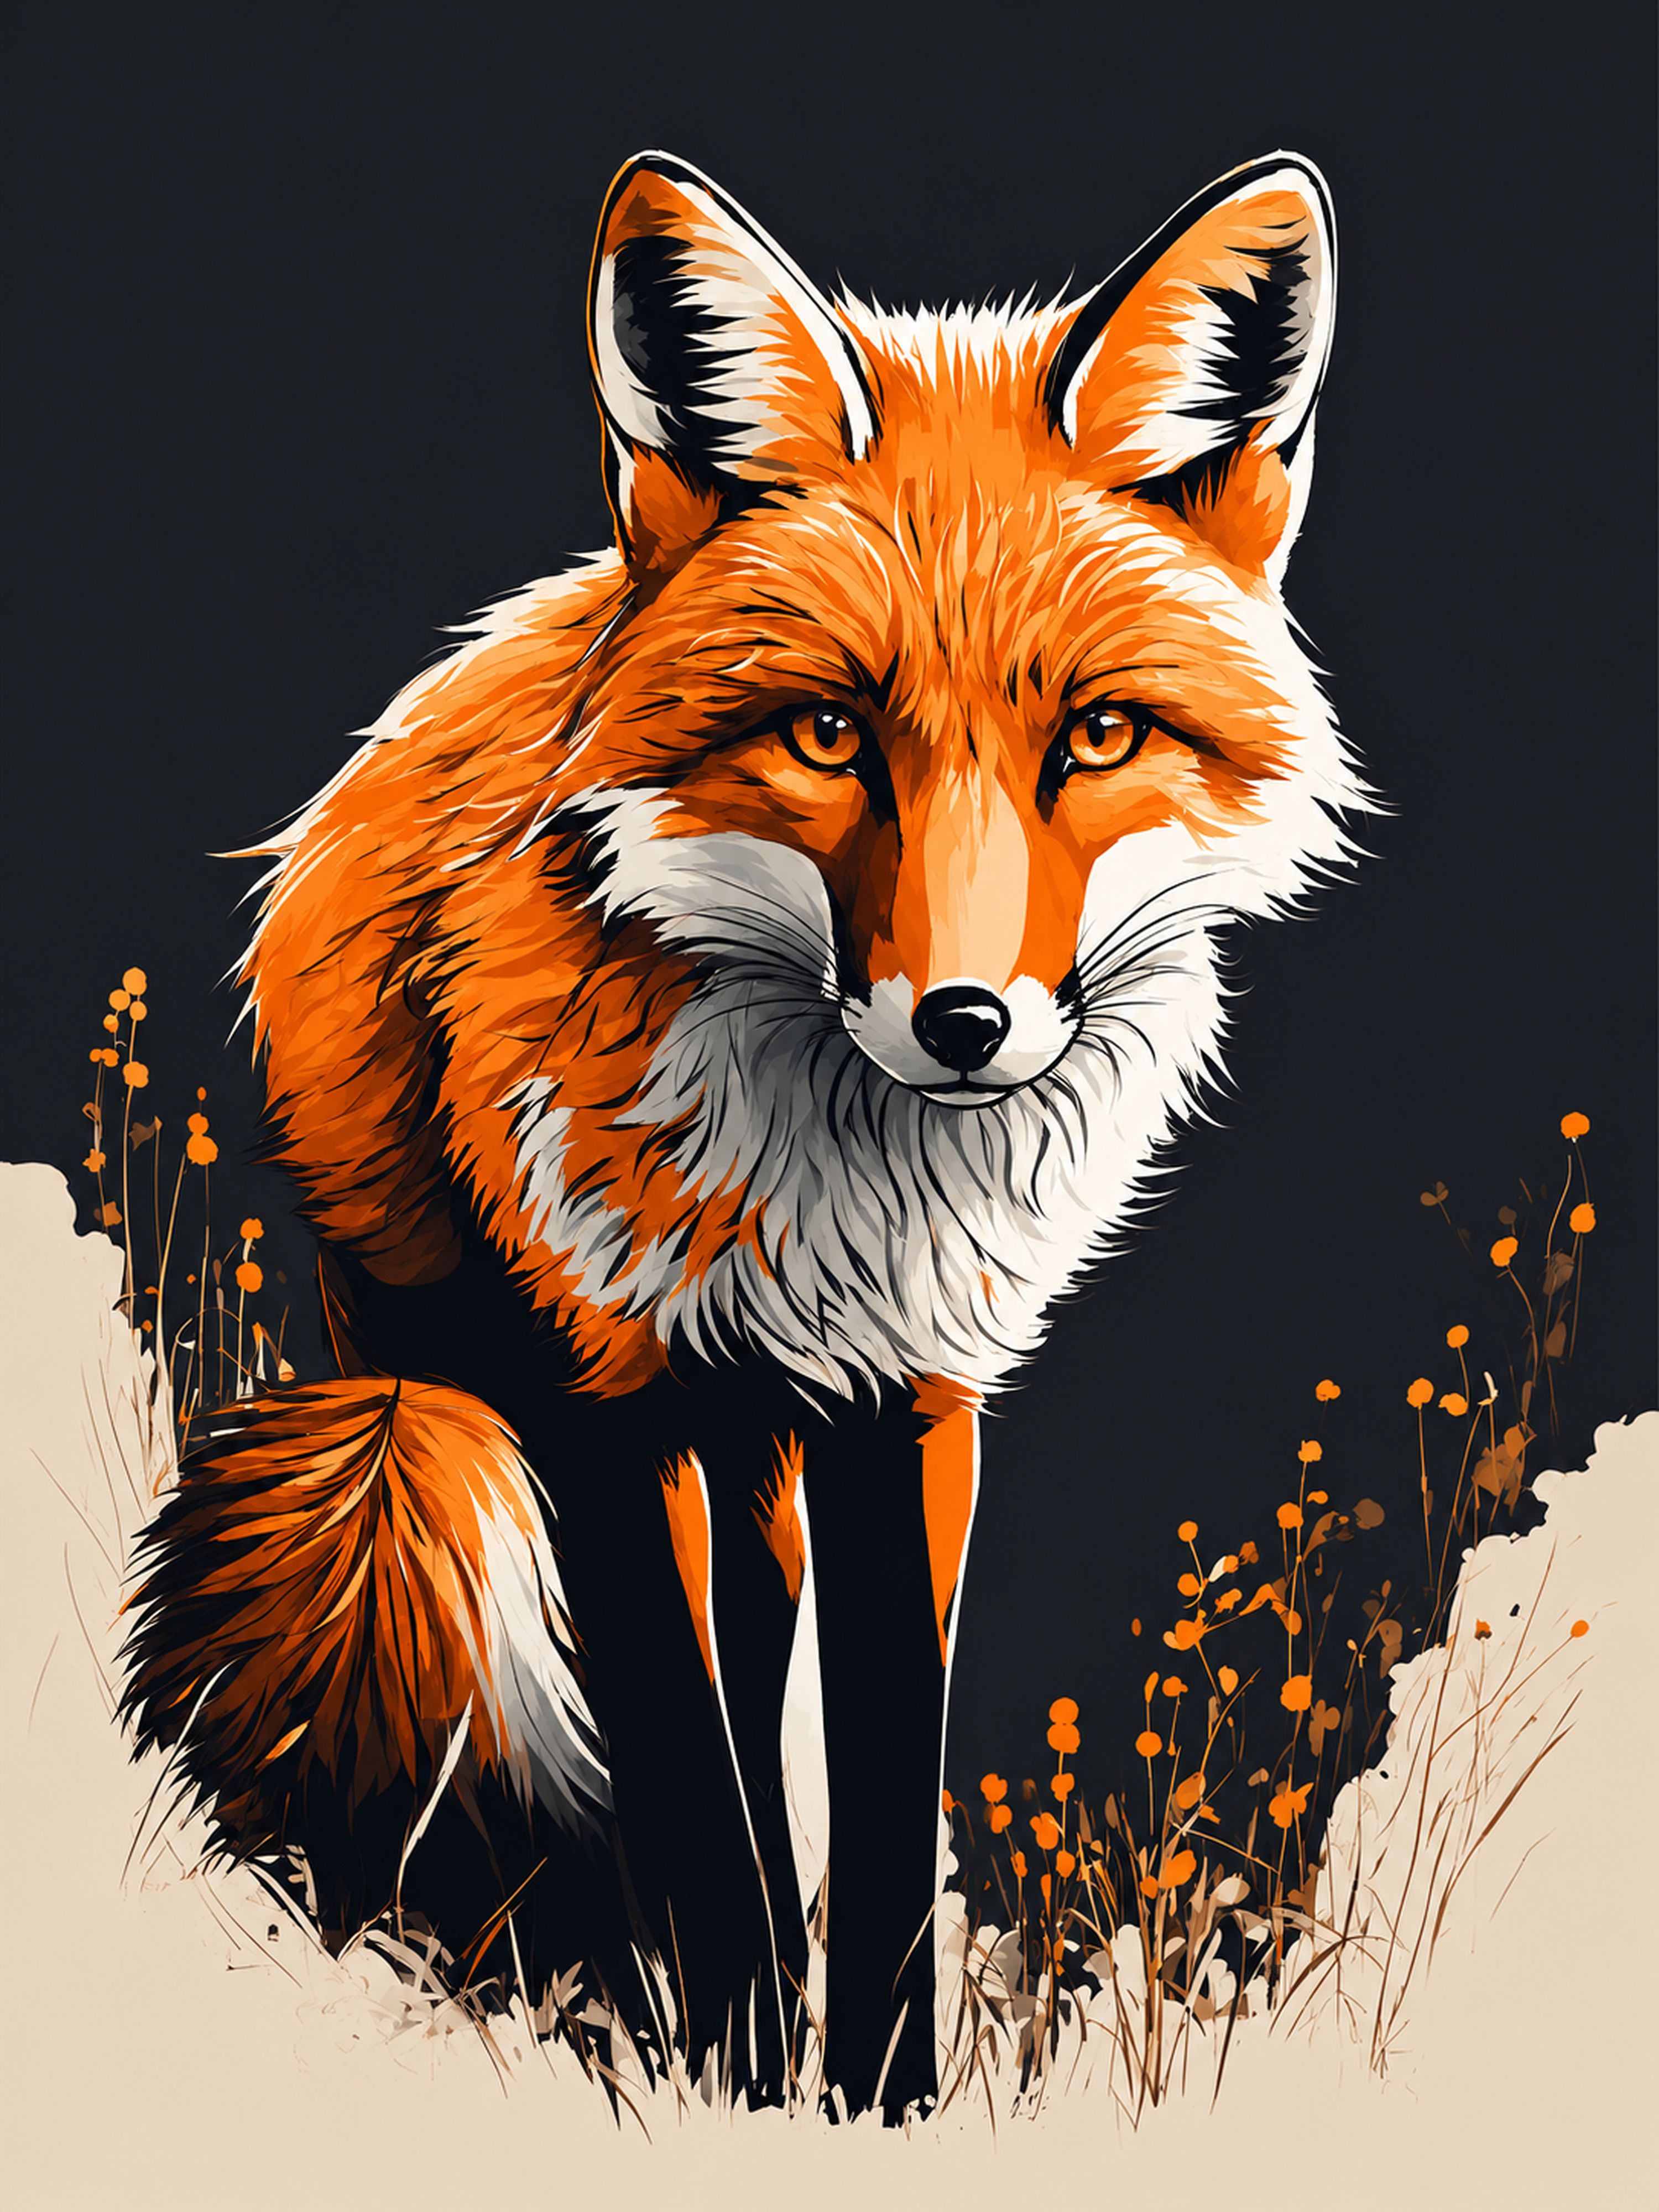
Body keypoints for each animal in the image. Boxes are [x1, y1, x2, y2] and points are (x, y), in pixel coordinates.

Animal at [121, 148, 1363, 2118]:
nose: (964, 1024)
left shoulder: (910, 1403)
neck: (826, 1192)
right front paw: (740, 2083)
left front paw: (881, 2104)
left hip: (754, 1461)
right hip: (457, 1415)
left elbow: (877, 1792)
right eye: (829, 732)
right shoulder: (604, 1410)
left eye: (1098, 736)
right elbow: (703, 1815)